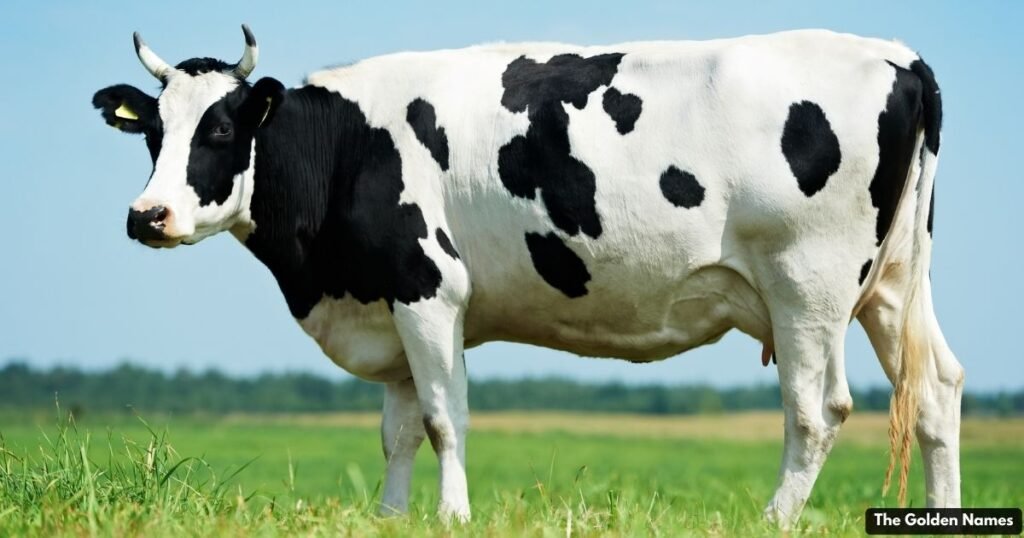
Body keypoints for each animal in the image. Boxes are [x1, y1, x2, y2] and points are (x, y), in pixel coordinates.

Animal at [92, 25, 962, 526]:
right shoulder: (390, 300)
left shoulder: (428, 288)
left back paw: (772, 519)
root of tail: (900, 55)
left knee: (818, 412)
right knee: (936, 391)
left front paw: (450, 517)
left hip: (806, 284)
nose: (147, 215)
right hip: (893, 283)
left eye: (221, 129)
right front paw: (390, 516)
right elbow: (397, 429)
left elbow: (444, 419)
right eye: (154, 132)